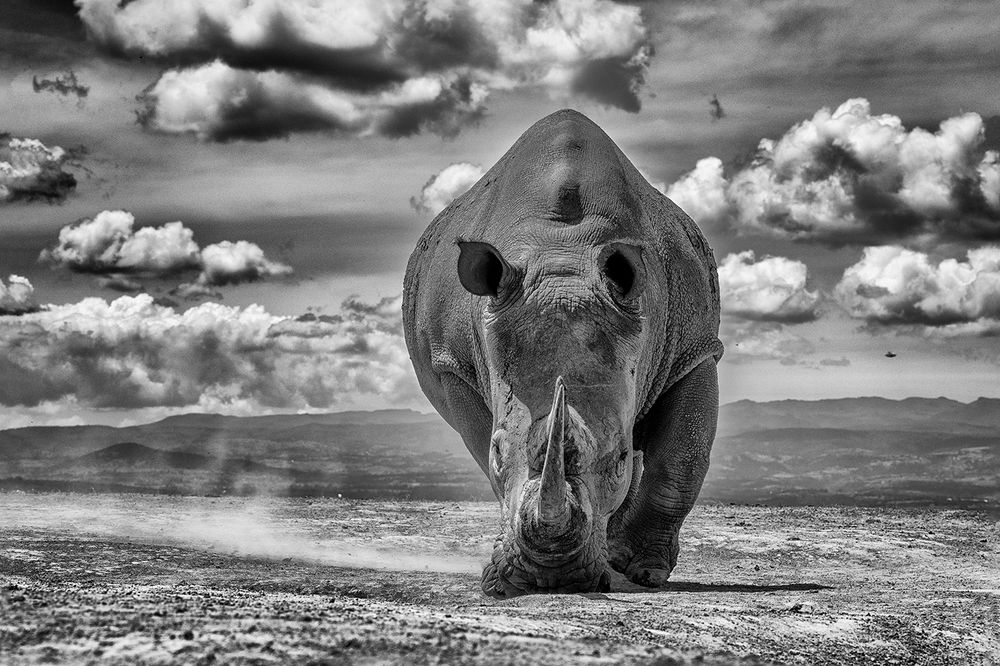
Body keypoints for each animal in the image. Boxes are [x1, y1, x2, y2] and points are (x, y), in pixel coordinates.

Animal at [403, 109, 724, 597]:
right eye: (498, 451)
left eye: (619, 461)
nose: (552, 578)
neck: (562, 250)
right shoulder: (451, 364)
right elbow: (485, 453)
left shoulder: (695, 349)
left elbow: (680, 459)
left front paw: (642, 572)